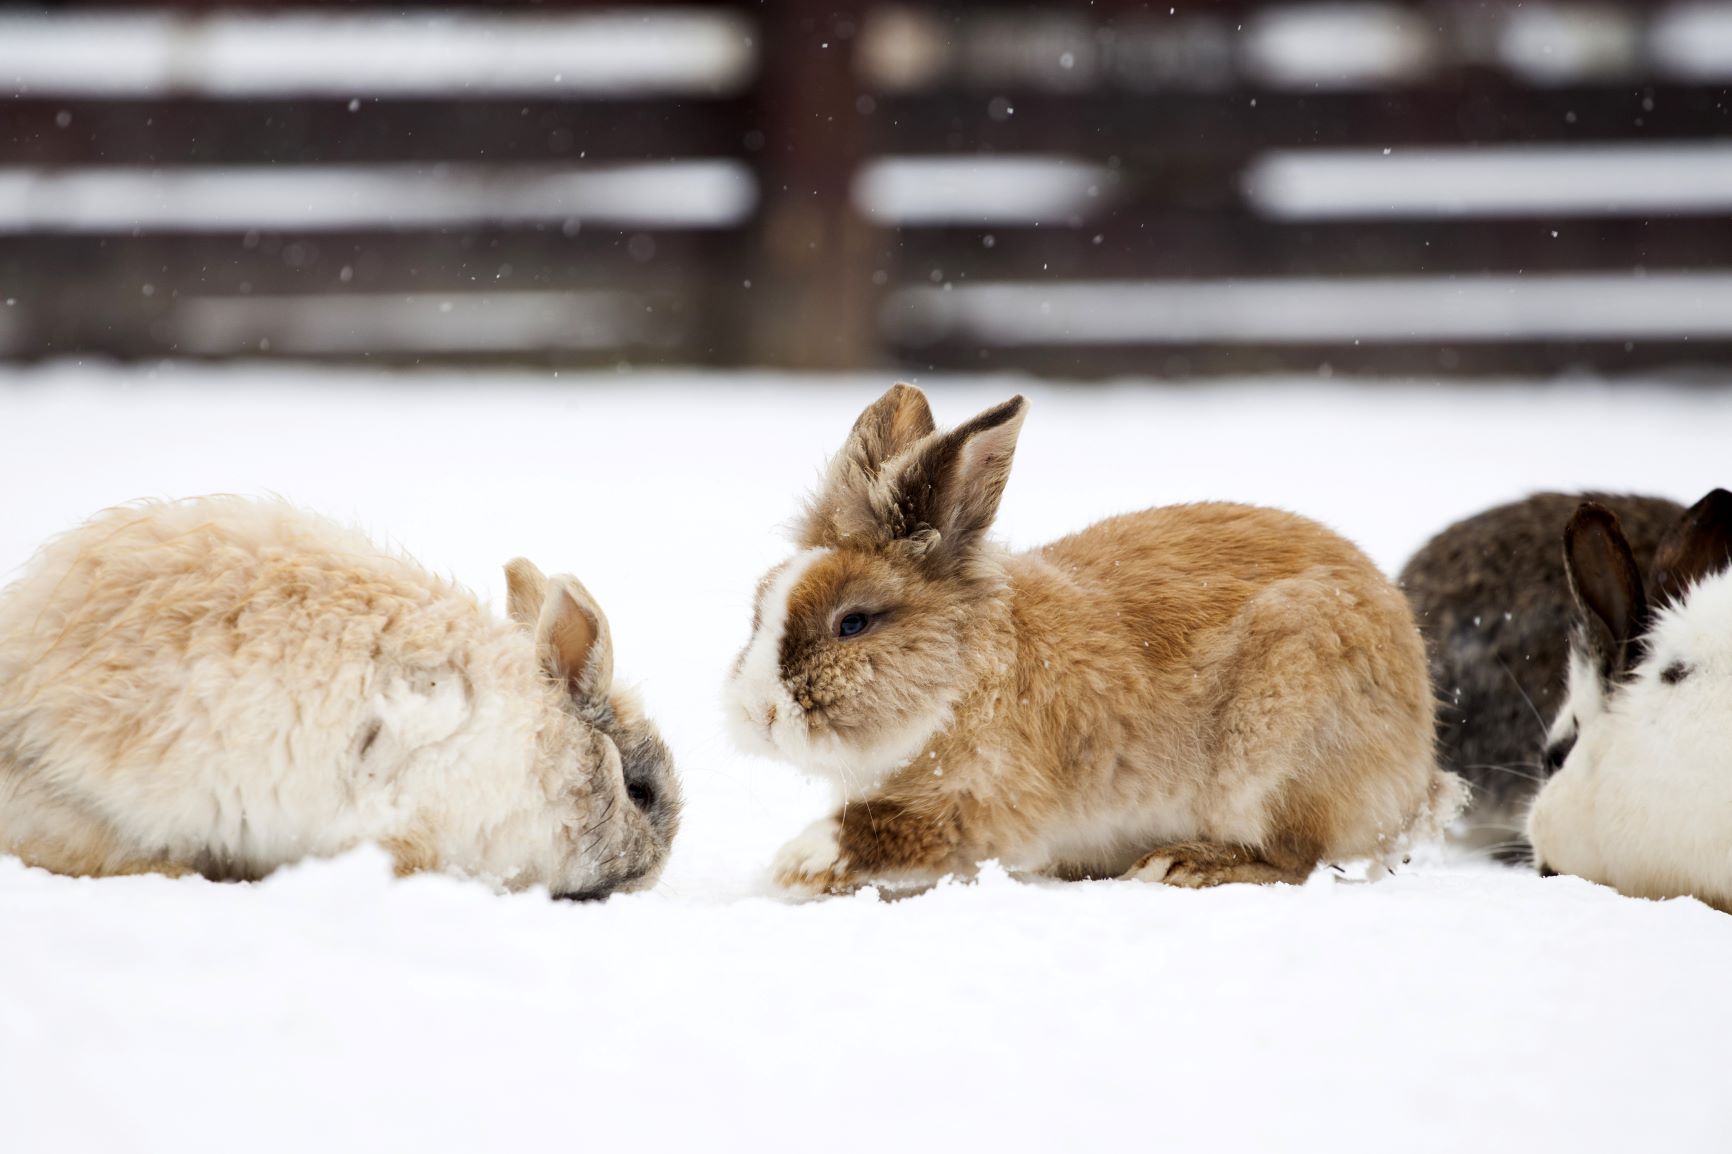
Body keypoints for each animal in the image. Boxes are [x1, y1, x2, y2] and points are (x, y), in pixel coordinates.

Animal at [717, 381, 1461, 894]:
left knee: (1294, 858)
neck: (963, 681)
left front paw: (798, 863)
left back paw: (1177, 865)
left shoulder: (983, 808)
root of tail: (1416, 776)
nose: (756, 713)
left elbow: (891, 828)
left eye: (853, 622)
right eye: (760, 609)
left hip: (1278, 753)